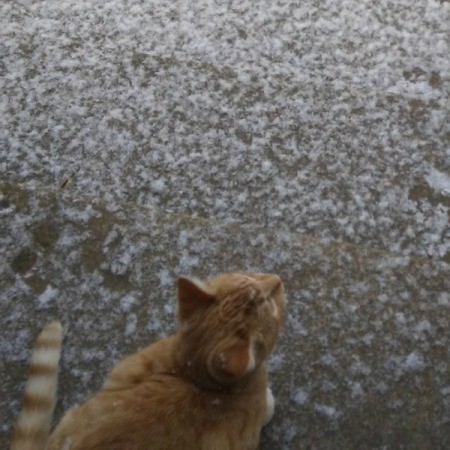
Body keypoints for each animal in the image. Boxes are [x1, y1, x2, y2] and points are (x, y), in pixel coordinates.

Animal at [11, 272, 284, 450]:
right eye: (270, 306)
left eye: (249, 277)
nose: (277, 279)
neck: (193, 375)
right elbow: (268, 406)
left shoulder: (128, 367)